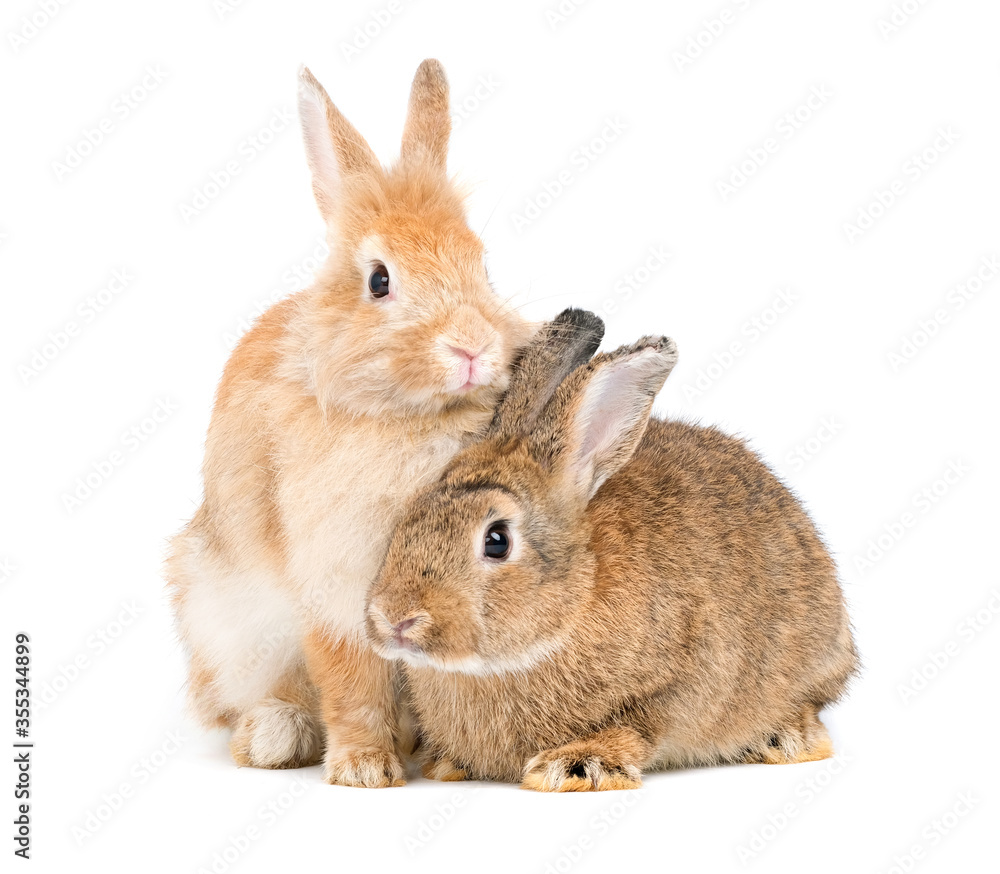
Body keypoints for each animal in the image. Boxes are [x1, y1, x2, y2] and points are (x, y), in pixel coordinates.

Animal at [166, 59, 533, 787]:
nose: (472, 347)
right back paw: (275, 737)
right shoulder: (337, 589)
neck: (408, 416)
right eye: (380, 281)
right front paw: (365, 768)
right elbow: (351, 680)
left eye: (482, 265)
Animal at [365, 309, 859, 791]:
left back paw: (784, 739)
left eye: (497, 540)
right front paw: (448, 764)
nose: (396, 619)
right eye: (408, 515)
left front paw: (575, 765)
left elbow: (636, 726)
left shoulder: (676, 681)